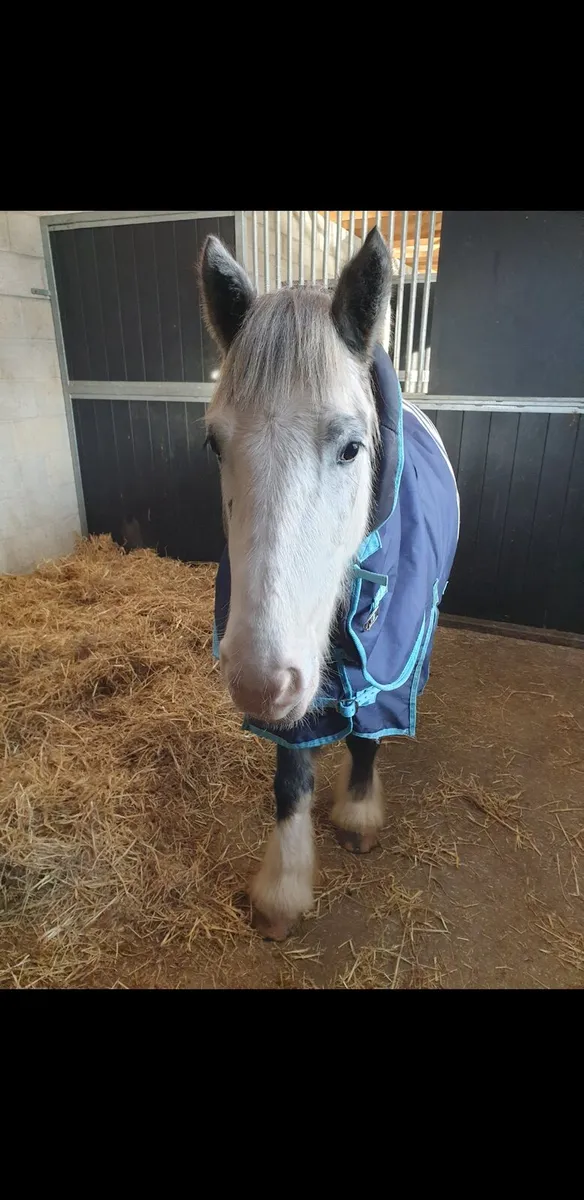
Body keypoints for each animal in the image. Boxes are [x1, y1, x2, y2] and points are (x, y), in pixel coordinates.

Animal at [200, 227, 459, 941]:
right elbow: (291, 777)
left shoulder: (385, 659)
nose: (257, 682)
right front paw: (283, 891)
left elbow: (368, 732)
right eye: (215, 445)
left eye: (350, 447)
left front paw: (358, 814)